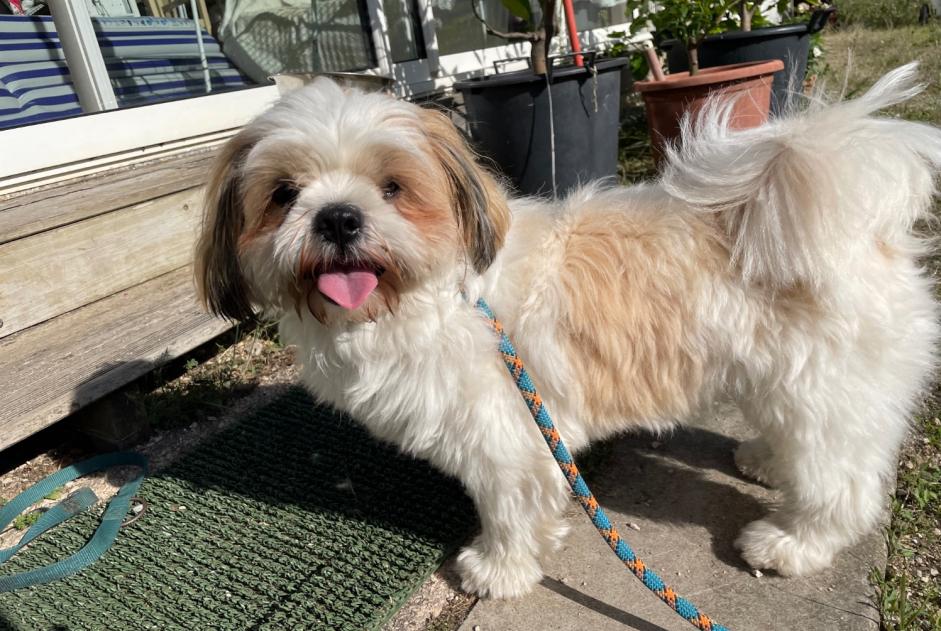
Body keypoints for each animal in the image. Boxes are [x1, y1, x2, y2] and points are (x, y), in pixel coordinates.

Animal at [193, 65, 940, 604]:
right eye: (283, 194)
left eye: (393, 186)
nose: (339, 218)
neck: (434, 297)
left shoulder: (506, 439)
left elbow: (508, 511)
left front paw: (495, 569)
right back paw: (763, 456)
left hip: (826, 392)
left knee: (842, 485)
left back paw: (789, 543)